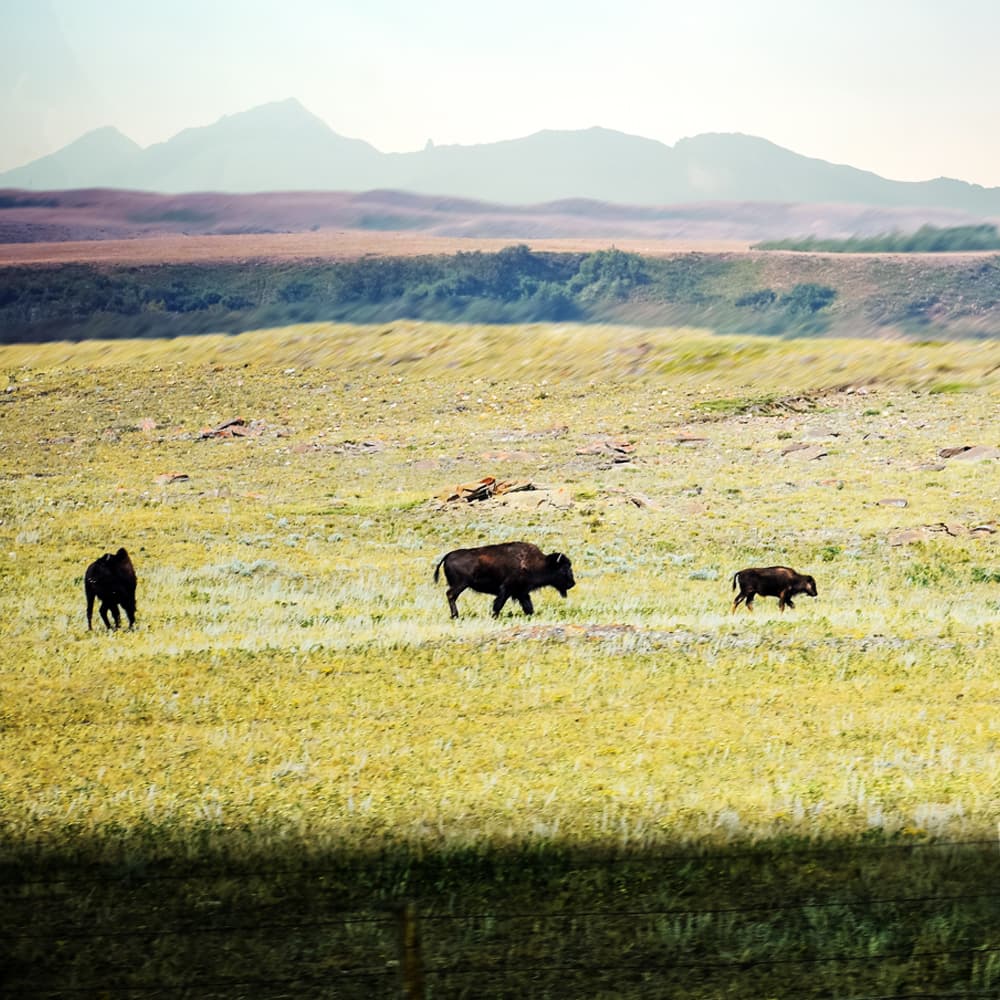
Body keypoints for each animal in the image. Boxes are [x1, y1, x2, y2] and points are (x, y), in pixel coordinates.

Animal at [434, 541, 575, 619]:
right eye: (564, 569)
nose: (572, 584)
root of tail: (447, 556)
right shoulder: (506, 590)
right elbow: (498, 604)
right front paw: (494, 616)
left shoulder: (521, 592)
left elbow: (528, 606)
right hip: (460, 585)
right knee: (451, 595)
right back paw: (455, 616)